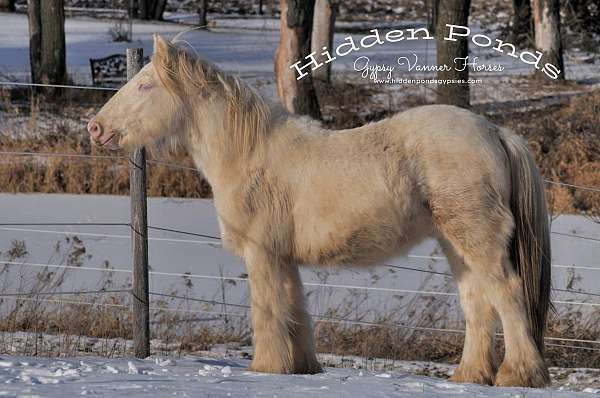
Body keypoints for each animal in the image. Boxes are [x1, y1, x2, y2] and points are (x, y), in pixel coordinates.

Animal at [86, 35, 552, 388]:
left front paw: (265, 368)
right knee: (478, 303)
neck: (250, 152)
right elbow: (295, 312)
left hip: (478, 239)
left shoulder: (262, 254)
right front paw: (300, 369)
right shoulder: (284, 259)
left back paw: (519, 374)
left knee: (508, 294)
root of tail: (496, 131)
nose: (95, 127)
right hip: (457, 243)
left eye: (146, 86)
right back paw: (469, 376)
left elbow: (268, 311)